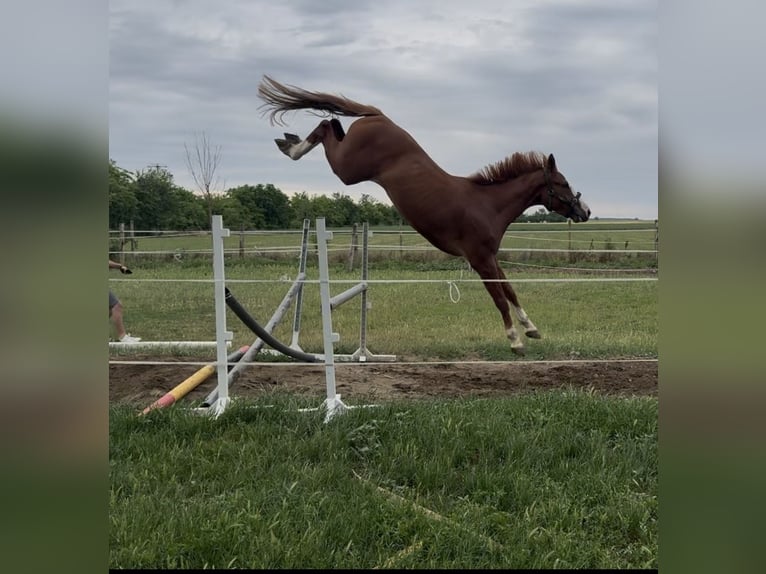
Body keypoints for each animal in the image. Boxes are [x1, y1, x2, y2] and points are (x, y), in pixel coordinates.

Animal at [257, 75, 591, 355]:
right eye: (563, 183)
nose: (585, 210)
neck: (487, 204)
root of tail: (379, 116)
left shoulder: (491, 258)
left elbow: (510, 291)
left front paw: (531, 328)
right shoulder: (480, 259)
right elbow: (498, 297)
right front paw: (515, 340)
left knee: (333, 122)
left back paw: (289, 141)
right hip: (348, 169)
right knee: (327, 126)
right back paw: (291, 146)